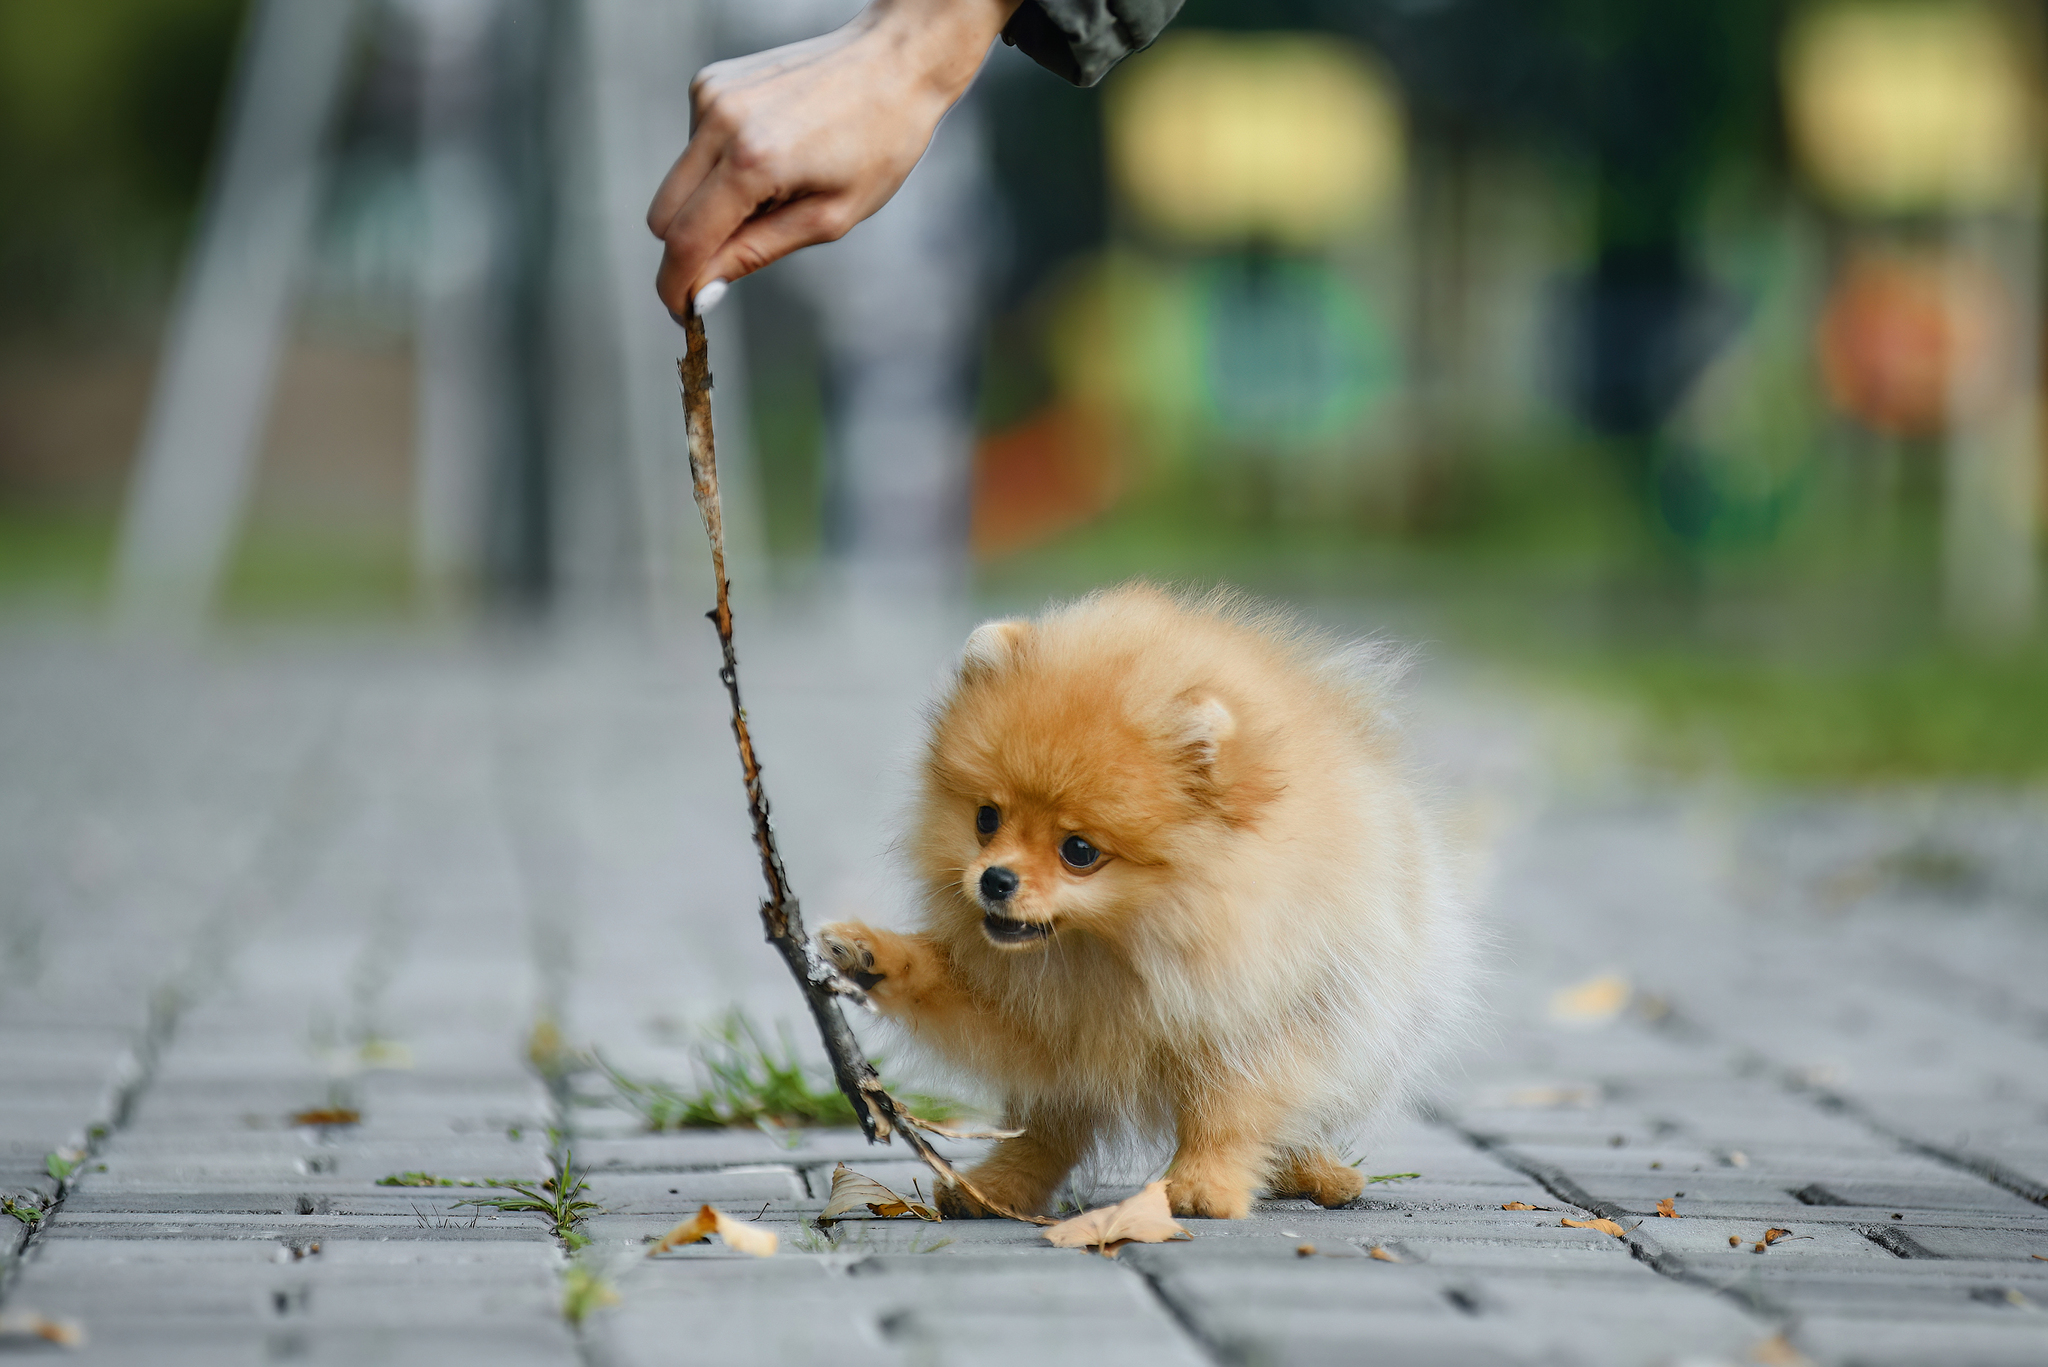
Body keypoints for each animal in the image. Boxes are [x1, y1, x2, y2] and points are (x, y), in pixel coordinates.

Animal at [815, 586, 1474, 1221]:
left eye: (1078, 851)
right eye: (986, 819)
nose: (995, 880)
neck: (1118, 949)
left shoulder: (1256, 1021)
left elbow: (1227, 1116)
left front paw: (1203, 1186)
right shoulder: (1032, 1012)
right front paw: (868, 954)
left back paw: (1318, 1174)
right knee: (1045, 1135)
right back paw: (996, 1189)